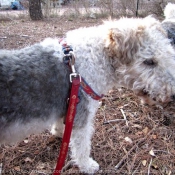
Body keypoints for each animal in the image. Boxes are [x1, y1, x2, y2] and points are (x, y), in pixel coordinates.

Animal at [0, 16, 175, 174]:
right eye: (149, 61)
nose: (172, 95)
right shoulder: (82, 115)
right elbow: (82, 146)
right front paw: (88, 166)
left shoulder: (69, 106)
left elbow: (61, 126)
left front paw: (60, 134)